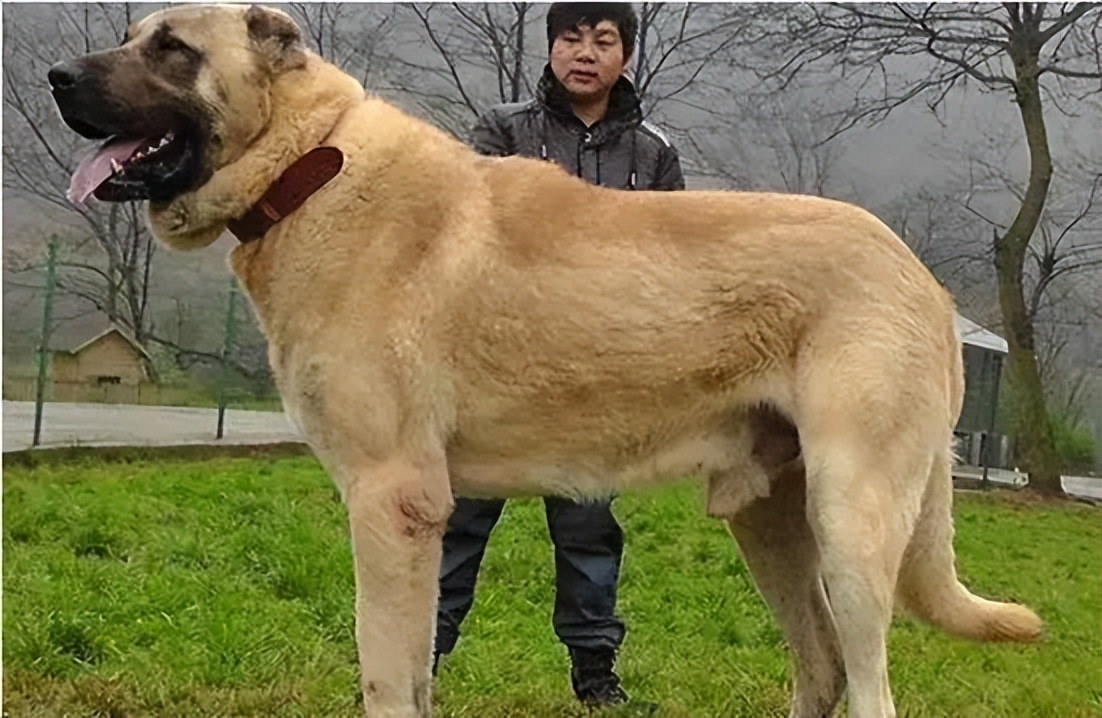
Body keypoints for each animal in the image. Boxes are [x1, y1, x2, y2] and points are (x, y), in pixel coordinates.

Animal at [49, 5, 1040, 718]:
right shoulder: (420, 513)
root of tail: (924, 279)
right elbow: (416, 670)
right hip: (770, 520)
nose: (56, 74)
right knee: (822, 669)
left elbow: (385, 674)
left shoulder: (390, 499)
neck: (307, 168)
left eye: (171, 47)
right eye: (132, 35)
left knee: (867, 684)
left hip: (852, 522)